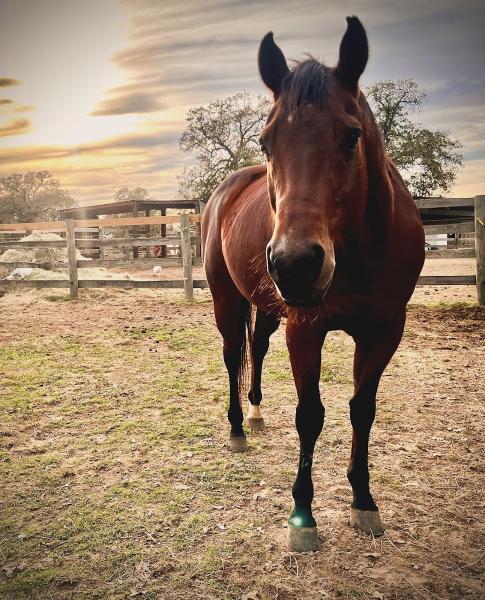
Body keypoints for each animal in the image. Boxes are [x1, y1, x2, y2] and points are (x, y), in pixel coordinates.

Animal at [200, 15, 424, 552]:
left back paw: (256, 414)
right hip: (228, 300)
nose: (295, 263)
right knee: (233, 356)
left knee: (256, 348)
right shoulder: (306, 328)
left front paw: (364, 501)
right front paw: (302, 515)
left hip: (267, 304)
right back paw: (237, 428)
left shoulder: (385, 330)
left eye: (351, 135)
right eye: (266, 141)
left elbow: (362, 409)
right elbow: (311, 415)